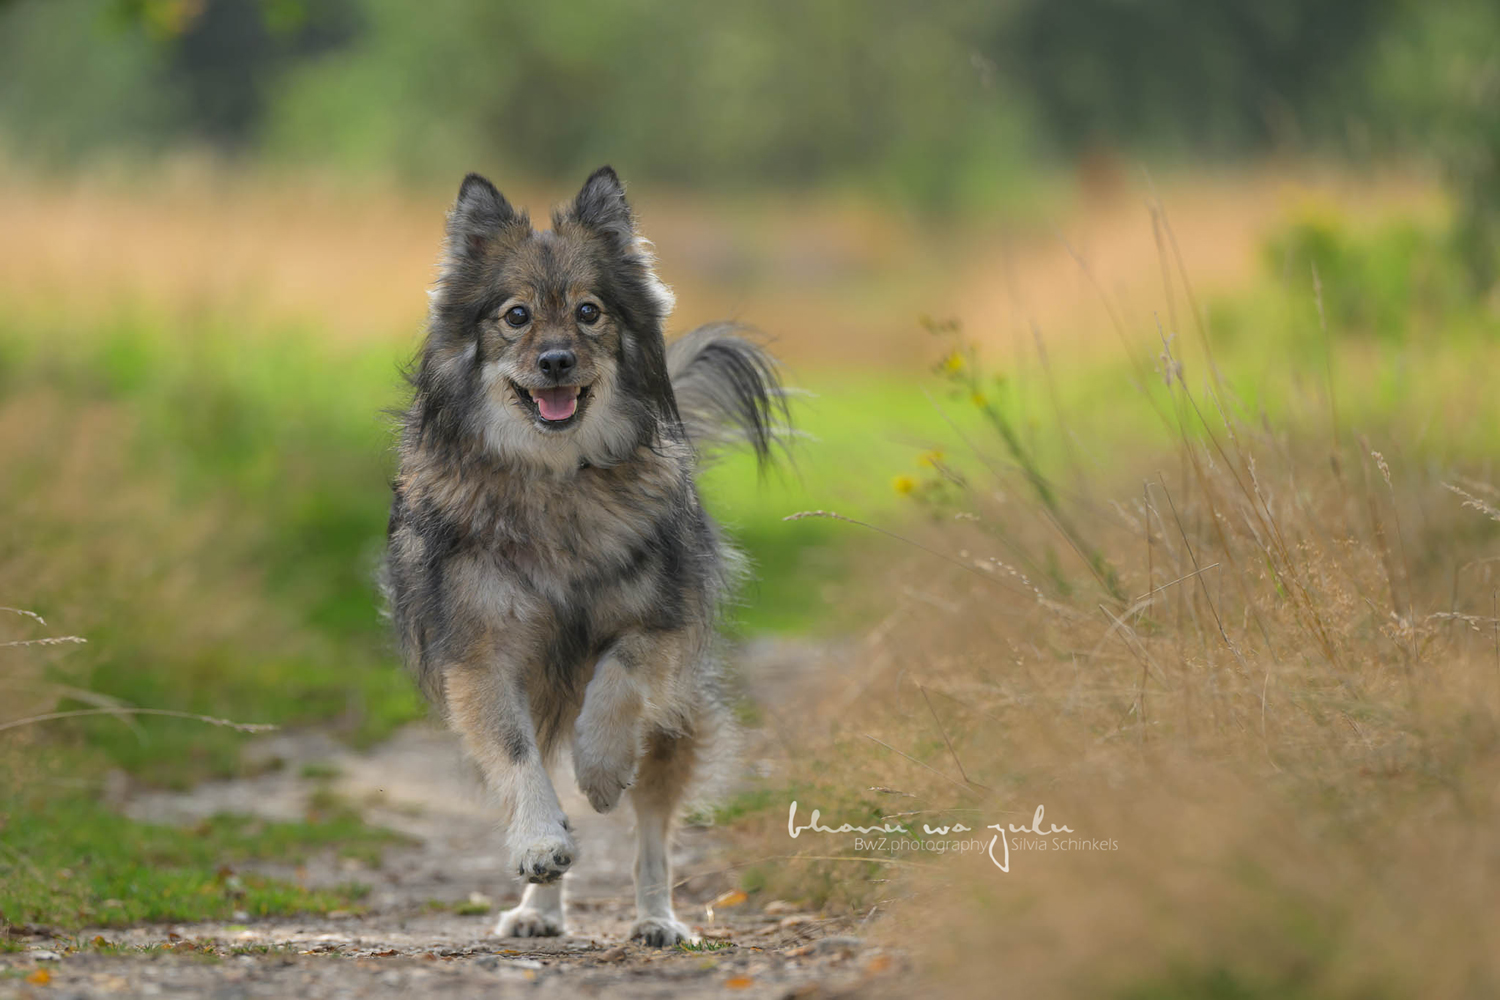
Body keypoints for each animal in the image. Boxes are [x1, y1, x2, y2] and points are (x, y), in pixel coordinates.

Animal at [381, 166, 786, 947]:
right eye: (515, 316)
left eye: (590, 311)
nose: (557, 360)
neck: (555, 480)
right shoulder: (482, 655)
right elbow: (516, 758)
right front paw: (540, 844)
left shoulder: (657, 626)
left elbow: (619, 682)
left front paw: (602, 770)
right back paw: (539, 908)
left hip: (675, 723)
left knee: (652, 832)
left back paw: (657, 918)